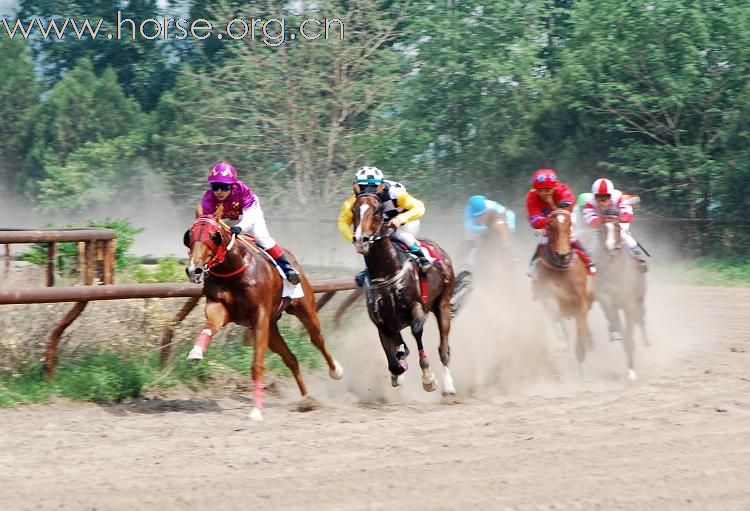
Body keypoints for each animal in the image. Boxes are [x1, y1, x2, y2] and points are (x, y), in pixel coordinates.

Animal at [185, 215, 344, 420]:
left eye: (213, 237)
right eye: (189, 236)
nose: (194, 270)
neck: (234, 268)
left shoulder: (259, 316)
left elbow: (257, 365)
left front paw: (256, 411)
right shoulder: (218, 307)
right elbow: (210, 326)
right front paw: (196, 352)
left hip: (305, 309)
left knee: (317, 338)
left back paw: (336, 371)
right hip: (272, 327)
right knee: (291, 359)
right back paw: (307, 399)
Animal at [352, 192, 462, 396]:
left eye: (376, 211)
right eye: (354, 210)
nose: (360, 240)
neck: (386, 271)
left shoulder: (416, 307)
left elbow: (417, 330)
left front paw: (428, 379)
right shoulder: (381, 323)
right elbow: (394, 363)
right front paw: (399, 371)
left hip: (442, 304)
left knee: (444, 349)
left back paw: (448, 386)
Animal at [536, 209, 596, 376]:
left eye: (570, 224)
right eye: (550, 225)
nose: (562, 255)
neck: (561, 270)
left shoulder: (581, 303)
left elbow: (581, 332)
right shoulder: (548, 296)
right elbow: (555, 315)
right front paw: (562, 345)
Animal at [596, 214, 648, 382]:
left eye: (617, 227)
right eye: (602, 228)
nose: (611, 248)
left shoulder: (629, 304)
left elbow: (630, 334)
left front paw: (631, 372)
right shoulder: (608, 303)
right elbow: (621, 330)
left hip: (640, 299)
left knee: (641, 319)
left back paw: (647, 342)